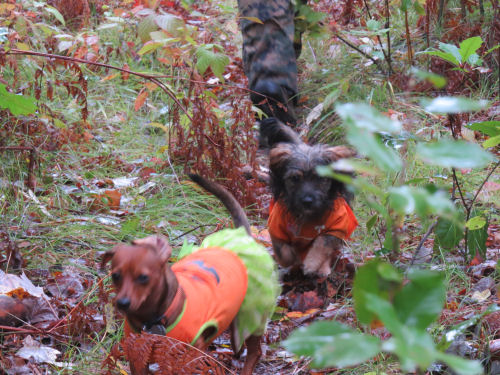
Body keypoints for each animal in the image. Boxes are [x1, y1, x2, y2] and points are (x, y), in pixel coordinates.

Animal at [103, 175, 280, 374]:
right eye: (115, 275)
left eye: (143, 277)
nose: (122, 303)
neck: (154, 319)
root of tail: (243, 238)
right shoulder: (137, 357)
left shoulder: (189, 354)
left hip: (254, 316)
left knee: (255, 352)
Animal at [260, 118, 358, 280]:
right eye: (295, 178)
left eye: (321, 178)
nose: (307, 201)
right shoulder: (275, 228)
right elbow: (283, 252)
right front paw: (292, 258)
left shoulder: (336, 227)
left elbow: (321, 244)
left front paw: (311, 264)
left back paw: (322, 268)